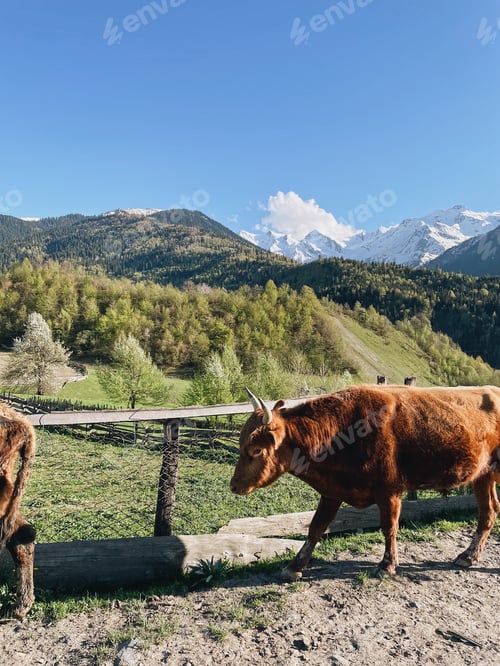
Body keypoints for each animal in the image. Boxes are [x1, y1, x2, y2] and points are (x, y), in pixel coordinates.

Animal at [230, 386, 500, 581]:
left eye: (256, 450)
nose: (234, 485)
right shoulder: (332, 491)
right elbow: (316, 527)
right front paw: (295, 565)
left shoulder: (390, 491)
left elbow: (389, 527)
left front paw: (387, 566)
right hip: (483, 476)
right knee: (488, 512)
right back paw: (468, 556)